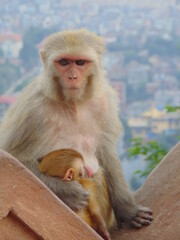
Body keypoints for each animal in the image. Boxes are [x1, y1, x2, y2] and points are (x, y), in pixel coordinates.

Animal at [0, 28, 153, 229]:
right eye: (64, 62)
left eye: (80, 62)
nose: (72, 76)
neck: (72, 103)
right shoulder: (31, 111)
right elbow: (14, 158)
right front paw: (69, 192)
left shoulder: (104, 102)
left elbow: (106, 152)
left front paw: (128, 211)